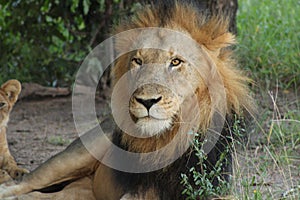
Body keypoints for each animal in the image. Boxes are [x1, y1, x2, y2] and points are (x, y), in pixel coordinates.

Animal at [0, 0, 253, 199]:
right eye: (137, 61)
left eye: (176, 62)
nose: (147, 101)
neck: (166, 143)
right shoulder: (135, 193)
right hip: (71, 158)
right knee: (19, 184)